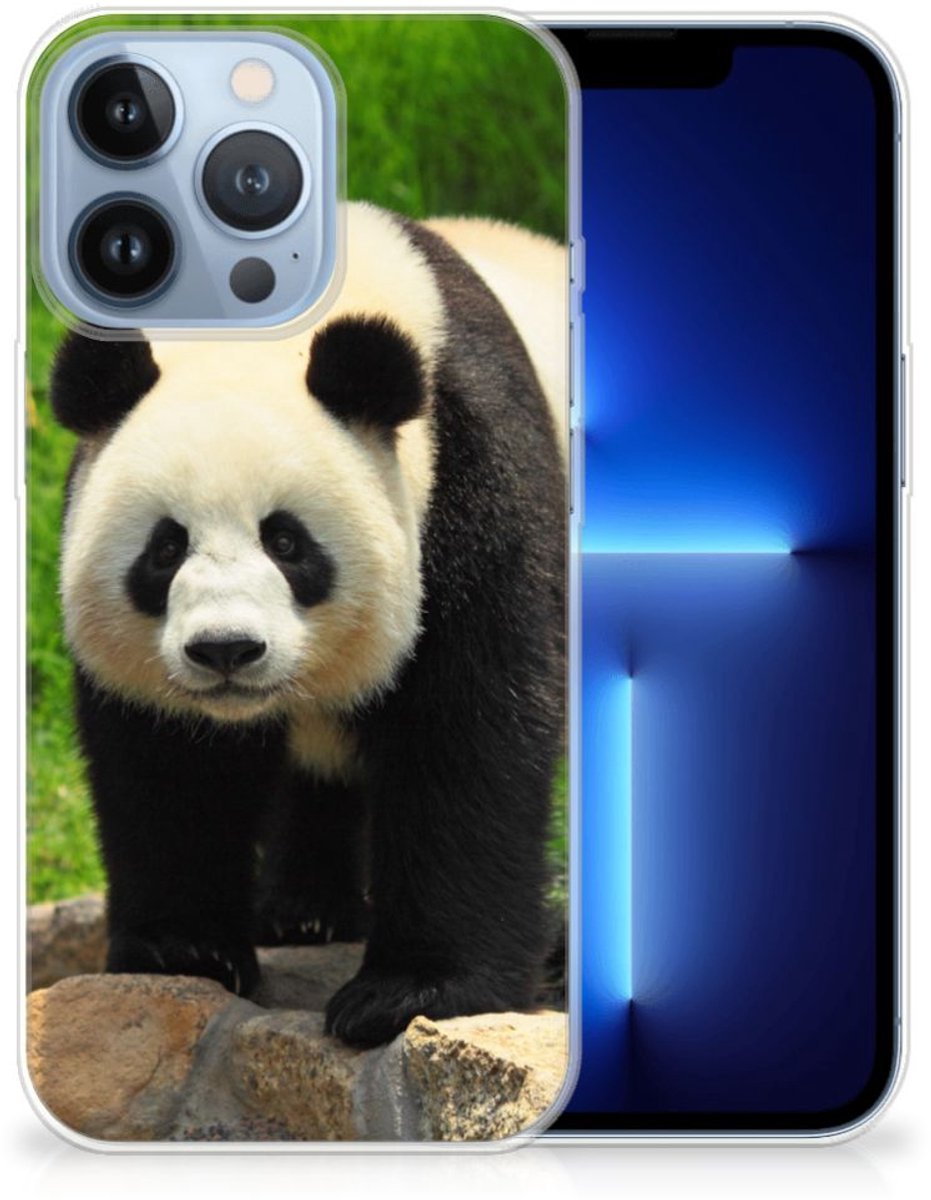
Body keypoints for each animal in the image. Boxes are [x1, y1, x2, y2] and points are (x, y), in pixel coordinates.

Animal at [50, 202, 567, 1048]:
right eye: (165, 548)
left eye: (287, 542)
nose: (226, 650)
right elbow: (169, 762)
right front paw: (183, 949)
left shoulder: (473, 481)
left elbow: (470, 732)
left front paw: (411, 992)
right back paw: (302, 912)